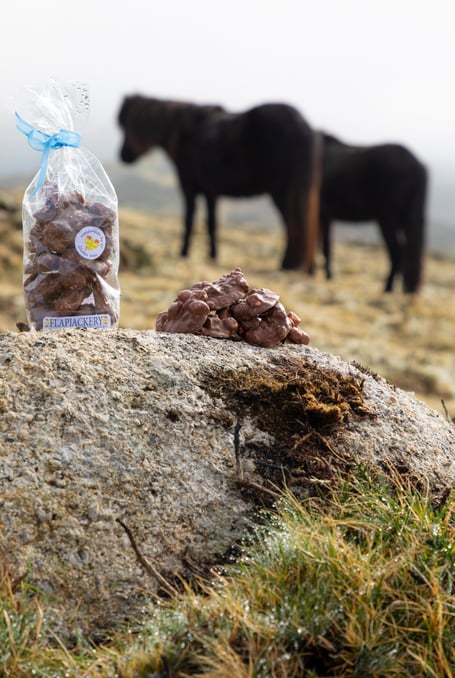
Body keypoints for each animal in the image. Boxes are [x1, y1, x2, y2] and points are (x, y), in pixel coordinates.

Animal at [117, 95, 320, 271]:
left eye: (126, 124)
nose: (123, 156)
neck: (183, 131)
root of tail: (299, 121)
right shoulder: (210, 192)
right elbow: (212, 223)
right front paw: (213, 255)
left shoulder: (188, 187)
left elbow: (189, 220)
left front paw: (183, 252)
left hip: (281, 191)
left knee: (293, 224)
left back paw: (289, 263)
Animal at [318, 132, 428, 293]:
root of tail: (418, 164)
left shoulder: (322, 213)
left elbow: (323, 245)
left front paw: (326, 274)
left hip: (388, 220)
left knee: (398, 253)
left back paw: (388, 287)